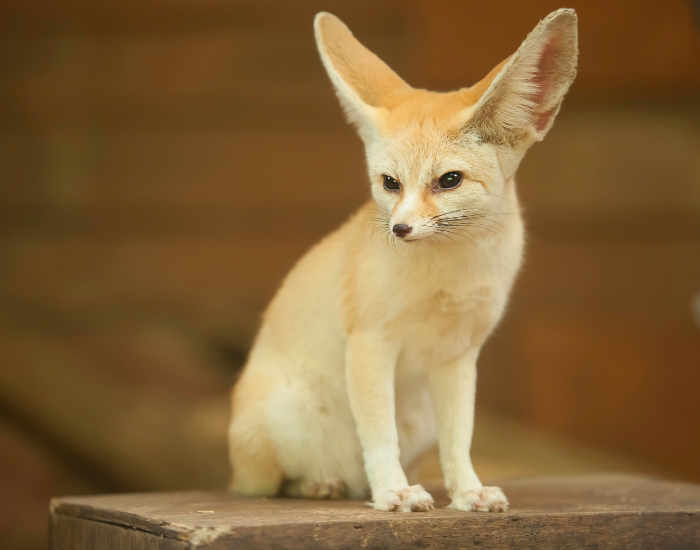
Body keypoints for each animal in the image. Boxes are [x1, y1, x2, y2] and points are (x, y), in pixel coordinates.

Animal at [228, 9, 578, 512]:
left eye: (449, 180)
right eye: (390, 183)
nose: (400, 229)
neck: (450, 275)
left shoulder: (459, 355)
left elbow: (460, 437)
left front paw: (467, 491)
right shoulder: (371, 342)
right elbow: (378, 434)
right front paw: (393, 491)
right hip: (285, 419)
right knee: (268, 484)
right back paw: (322, 484)